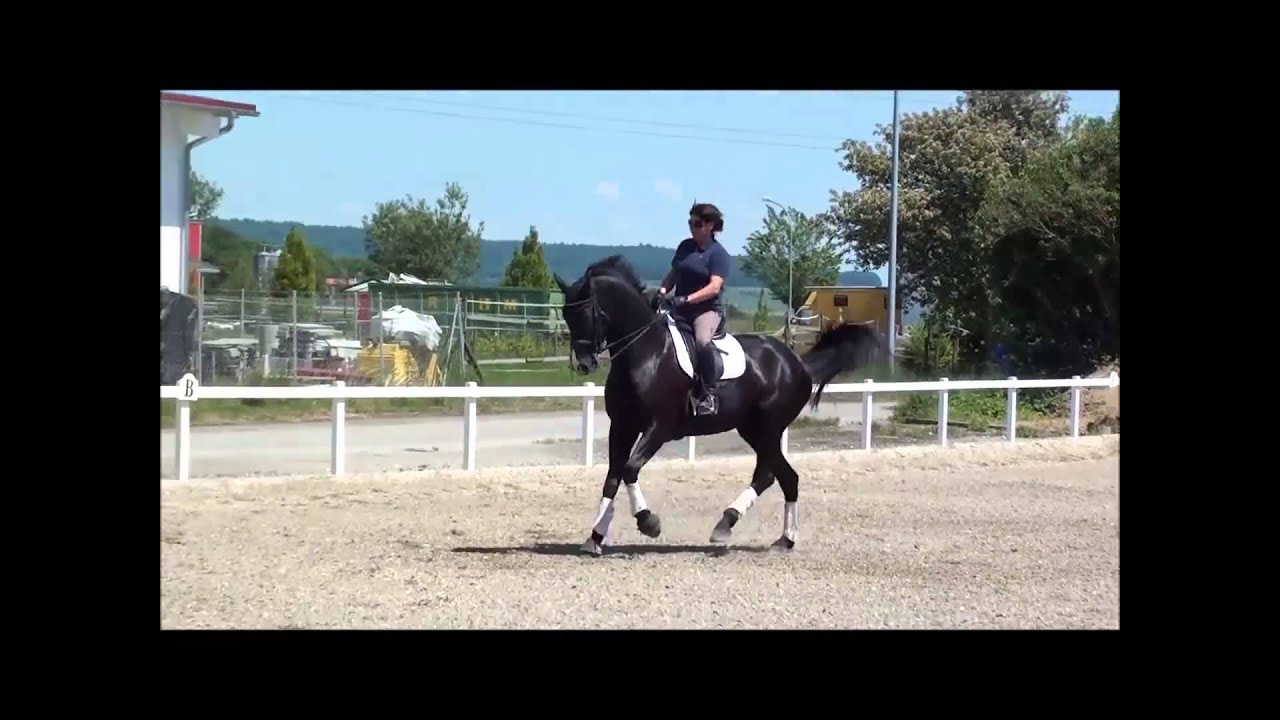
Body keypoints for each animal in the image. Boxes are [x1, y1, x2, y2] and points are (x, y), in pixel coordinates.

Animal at [555, 254, 884, 556]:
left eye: (587, 312)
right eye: (566, 314)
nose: (583, 364)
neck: (644, 353)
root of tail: (797, 363)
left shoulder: (658, 428)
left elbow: (629, 470)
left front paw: (648, 523)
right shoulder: (622, 427)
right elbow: (612, 477)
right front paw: (595, 537)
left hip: (768, 428)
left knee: (783, 477)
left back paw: (775, 537)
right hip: (753, 429)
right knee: (773, 476)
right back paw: (748, 530)